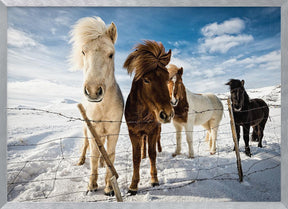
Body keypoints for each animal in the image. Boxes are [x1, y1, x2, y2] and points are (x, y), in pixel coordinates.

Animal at [70, 16, 124, 196]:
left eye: (111, 54)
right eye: (83, 52)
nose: (93, 91)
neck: (102, 107)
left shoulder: (114, 131)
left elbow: (111, 155)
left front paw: (109, 187)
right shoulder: (93, 129)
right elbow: (93, 155)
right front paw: (92, 185)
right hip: (87, 129)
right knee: (86, 145)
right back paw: (81, 161)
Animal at [123, 40, 173, 194]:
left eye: (167, 78)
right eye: (146, 80)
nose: (167, 113)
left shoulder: (153, 131)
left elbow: (152, 154)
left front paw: (154, 179)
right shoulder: (133, 133)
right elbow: (136, 157)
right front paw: (133, 185)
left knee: (158, 141)